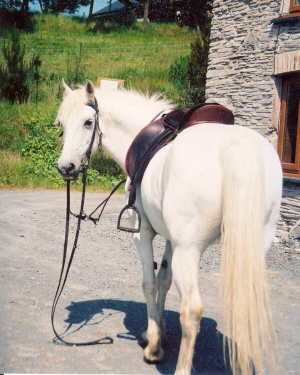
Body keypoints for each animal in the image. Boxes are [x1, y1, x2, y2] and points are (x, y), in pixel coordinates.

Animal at [55, 79, 282, 375]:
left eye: (88, 122)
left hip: (190, 250)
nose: (65, 167)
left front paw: (153, 345)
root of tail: (238, 146)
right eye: (61, 124)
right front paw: (158, 333)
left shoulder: (143, 234)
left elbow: (149, 283)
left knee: (192, 310)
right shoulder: (172, 240)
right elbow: (164, 279)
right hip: (253, 248)